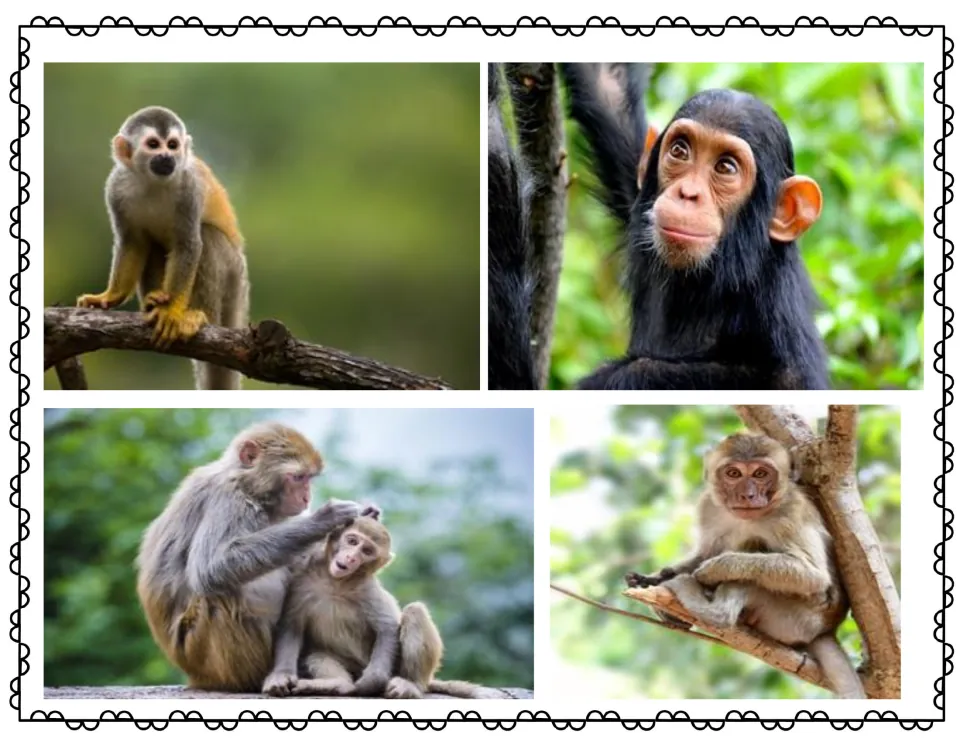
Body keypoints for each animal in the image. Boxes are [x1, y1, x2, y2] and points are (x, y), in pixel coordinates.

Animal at [77, 105, 249, 390]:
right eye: (153, 144)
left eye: (172, 144)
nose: (167, 157)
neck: (152, 181)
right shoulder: (115, 187)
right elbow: (133, 242)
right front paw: (109, 297)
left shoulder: (190, 187)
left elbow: (188, 244)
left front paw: (171, 312)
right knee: (153, 246)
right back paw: (153, 301)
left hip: (233, 270)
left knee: (207, 236)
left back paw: (199, 316)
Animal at [135, 421, 367, 692]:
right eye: (298, 477)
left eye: (309, 478)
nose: (306, 498)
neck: (248, 486)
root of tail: (196, 676)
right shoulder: (228, 499)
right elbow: (210, 568)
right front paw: (324, 519)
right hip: (212, 655)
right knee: (217, 595)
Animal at [263, 514, 507, 699]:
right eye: (352, 541)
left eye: (367, 551)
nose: (351, 558)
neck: (336, 583)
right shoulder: (301, 583)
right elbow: (292, 626)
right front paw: (281, 675)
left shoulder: (368, 590)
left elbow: (387, 628)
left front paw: (373, 681)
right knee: (317, 655)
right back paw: (338, 684)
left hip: (395, 668)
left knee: (414, 612)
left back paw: (411, 685)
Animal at [624, 432, 866, 699]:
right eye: (734, 473)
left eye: (760, 473)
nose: (747, 495)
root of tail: (826, 630)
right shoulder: (708, 507)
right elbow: (704, 552)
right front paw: (654, 578)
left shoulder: (790, 513)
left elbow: (814, 577)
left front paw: (715, 569)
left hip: (795, 619)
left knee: (751, 566)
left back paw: (704, 602)